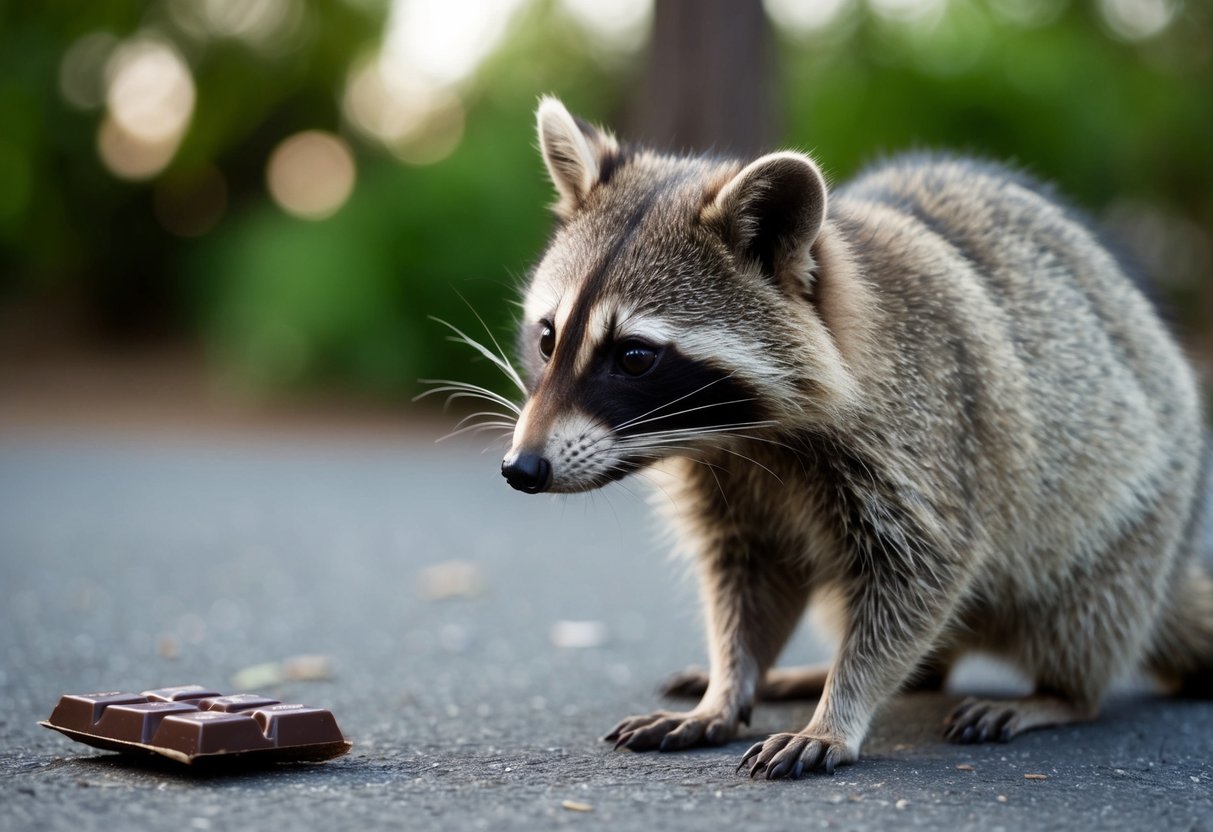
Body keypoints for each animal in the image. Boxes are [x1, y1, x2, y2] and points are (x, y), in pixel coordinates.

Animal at [495, 96, 1213, 778]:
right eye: (548, 337)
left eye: (635, 357)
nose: (521, 468)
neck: (744, 434)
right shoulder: (729, 482)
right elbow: (746, 581)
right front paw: (729, 685)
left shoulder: (928, 438)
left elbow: (918, 577)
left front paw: (841, 709)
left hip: (1130, 525)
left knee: (1083, 614)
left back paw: (1058, 694)